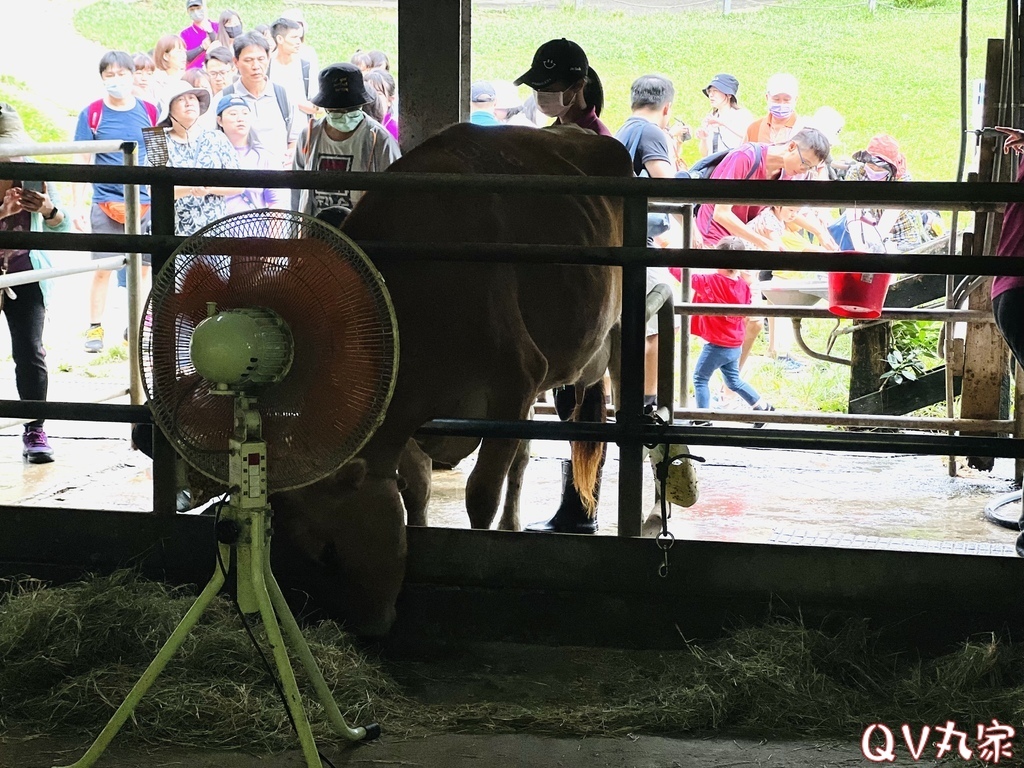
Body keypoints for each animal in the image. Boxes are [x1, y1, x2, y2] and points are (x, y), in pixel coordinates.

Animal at [268, 121, 626, 638]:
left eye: (328, 553)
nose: (365, 630)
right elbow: (417, 483)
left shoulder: (514, 378)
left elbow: (481, 494)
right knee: (523, 459)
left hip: (614, 337)